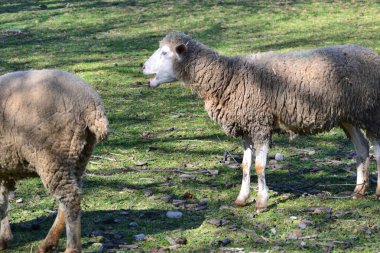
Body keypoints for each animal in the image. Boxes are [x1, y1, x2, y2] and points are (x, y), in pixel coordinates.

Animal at [0, 68, 109, 252]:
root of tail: (92, 105)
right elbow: (2, 201)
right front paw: (4, 238)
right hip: (77, 156)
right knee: (70, 196)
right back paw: (48, 243)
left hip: (52, 156)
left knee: (71, 198)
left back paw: (71, 248)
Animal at [142, 32, 380, 213]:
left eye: (165, 53)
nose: (142, 66)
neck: (228, 77)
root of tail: (372, 54)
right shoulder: (246, 128)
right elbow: (245, 165)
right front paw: (241, 198)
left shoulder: (260, 125)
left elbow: (259, 165)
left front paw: (261, 202)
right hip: (349, 116)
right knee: (362, 148)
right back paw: (358, 191)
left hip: (371, 113)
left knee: (376, 149)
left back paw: (376, 192)